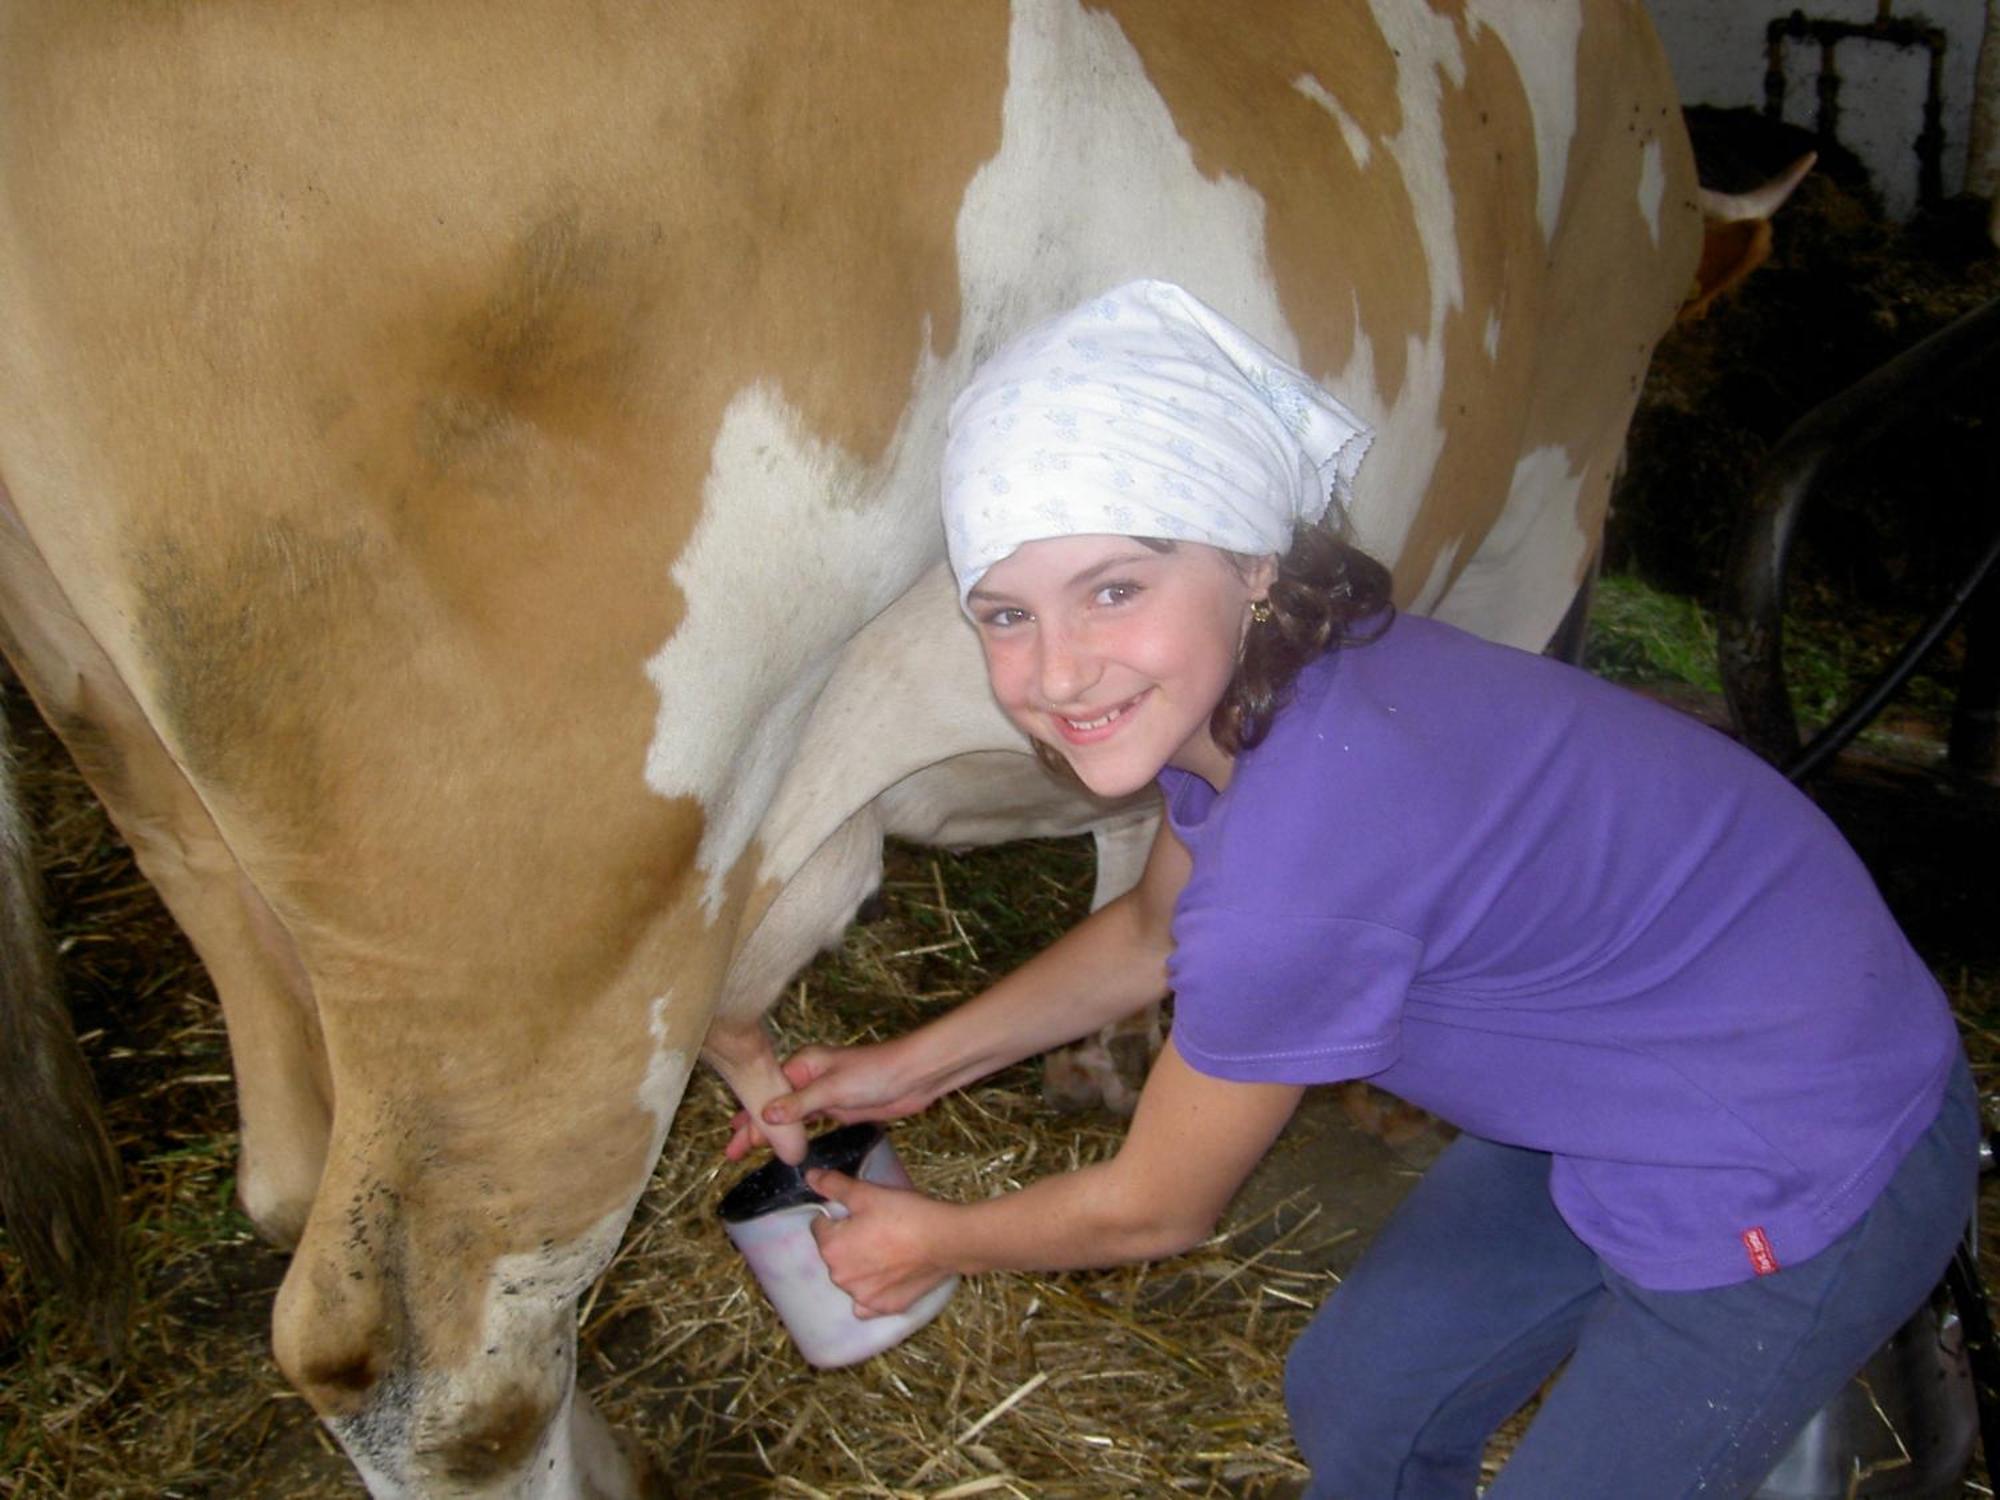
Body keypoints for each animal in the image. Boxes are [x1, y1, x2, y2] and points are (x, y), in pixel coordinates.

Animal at [0, 5, 1704, 1496]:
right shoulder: (1552, 482)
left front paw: (1098, 1047)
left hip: (157, 778)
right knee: (441, 1360)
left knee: (295, 1171)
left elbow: (1143, 846)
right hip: (547, 919)